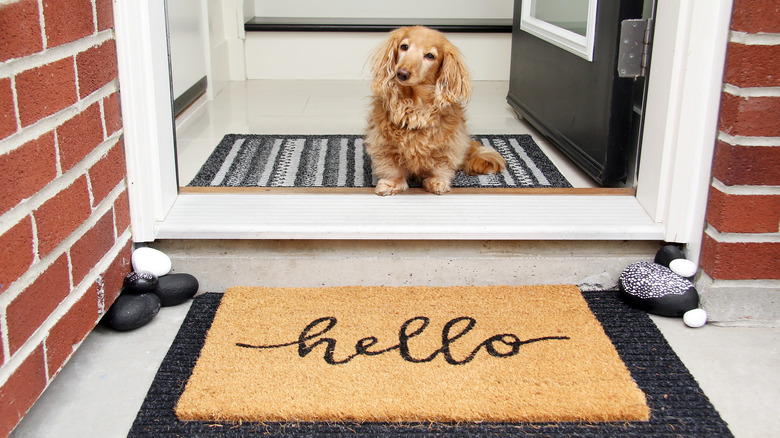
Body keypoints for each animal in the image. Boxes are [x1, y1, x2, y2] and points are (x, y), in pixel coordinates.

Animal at [364, 24, 506, 194]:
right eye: (404, 47)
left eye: (430, 56)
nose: (402, 73)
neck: (414, 103)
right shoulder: (384, 142)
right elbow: (392, 166)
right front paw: (392, 183)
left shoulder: (447, 143)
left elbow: (440, 164)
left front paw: (437, 181)